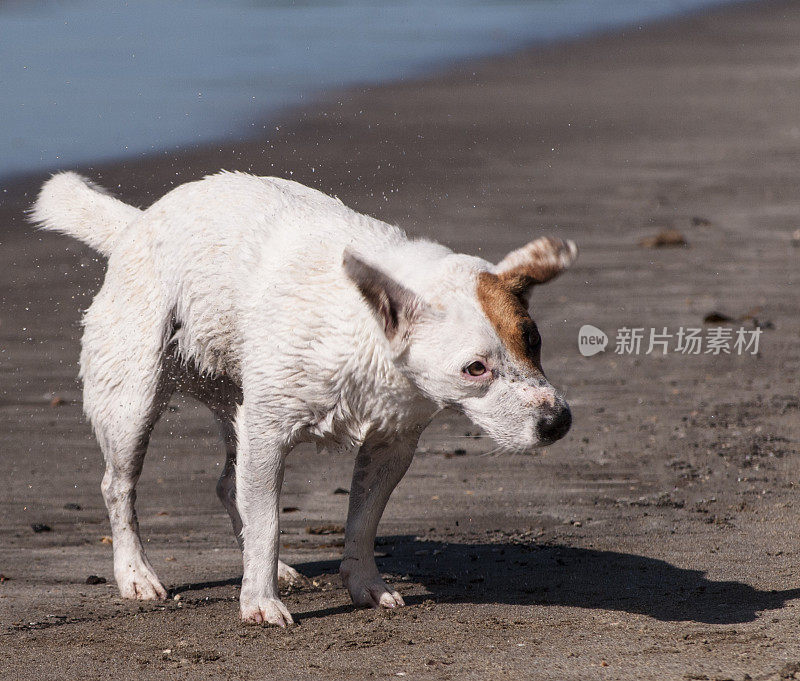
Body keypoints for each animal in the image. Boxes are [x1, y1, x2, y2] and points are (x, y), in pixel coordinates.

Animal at [29, 171, 576, 628]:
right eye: (474, 369)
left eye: (534, 340)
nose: (559, 422)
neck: (365, 333)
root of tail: (135, 224)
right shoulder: (269, 432)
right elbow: (269, 522)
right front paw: (260, 603)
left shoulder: (391, 445)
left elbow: (362, 521)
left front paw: (365, 586)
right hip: (133, 401)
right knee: (119, 487)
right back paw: (136, 574)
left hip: (233, 404)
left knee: (229, 485)